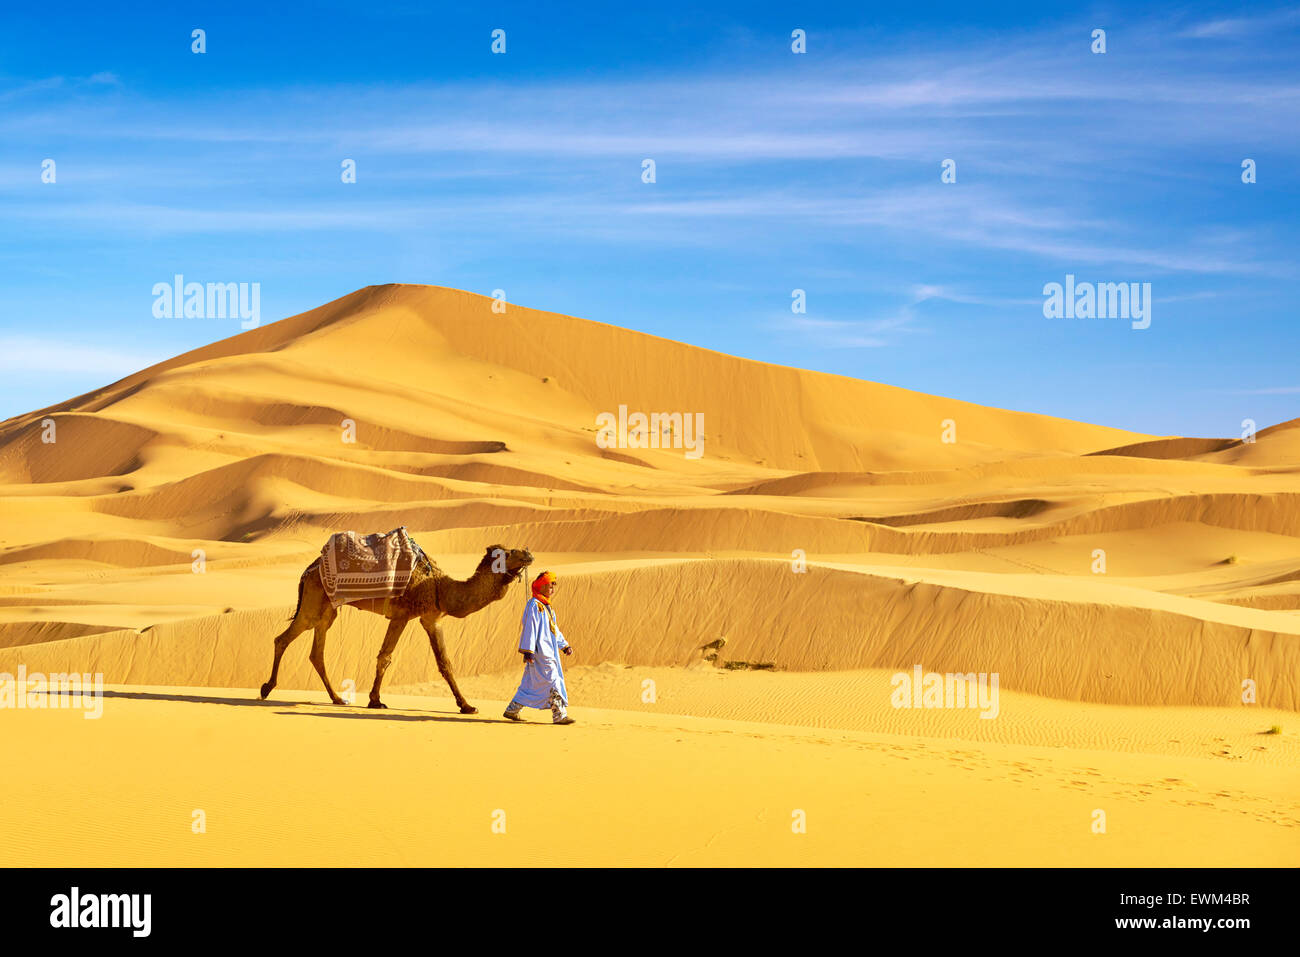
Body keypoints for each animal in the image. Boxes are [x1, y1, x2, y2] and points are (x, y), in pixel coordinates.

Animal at [261, 546, 530, 712]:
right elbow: (385, 657)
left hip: (327, 610)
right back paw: (266, 688)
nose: (528, 554)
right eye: (510, 552)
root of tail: (307, 571)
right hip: (313, 603)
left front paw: (467, 706)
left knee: (316, 653)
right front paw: (375, 701)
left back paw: (337, 698)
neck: (439, 587)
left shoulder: (431, 619)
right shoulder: (402, 614)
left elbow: (445, 663)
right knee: (283, 639)